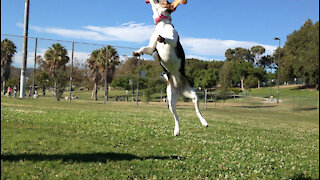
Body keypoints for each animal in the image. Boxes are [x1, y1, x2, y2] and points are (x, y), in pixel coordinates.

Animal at [132, 0, 208, 136]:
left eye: (162, 1)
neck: (162, 24)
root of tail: (180, 89)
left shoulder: (173, 39)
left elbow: (169, 39)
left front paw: (162, 38)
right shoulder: (151, 48)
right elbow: (144, 48)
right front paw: (137, 52)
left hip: (194, 96)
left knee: (197, 111)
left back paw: (204, 122)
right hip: (171, 101)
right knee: (176, 117)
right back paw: (176, 130)